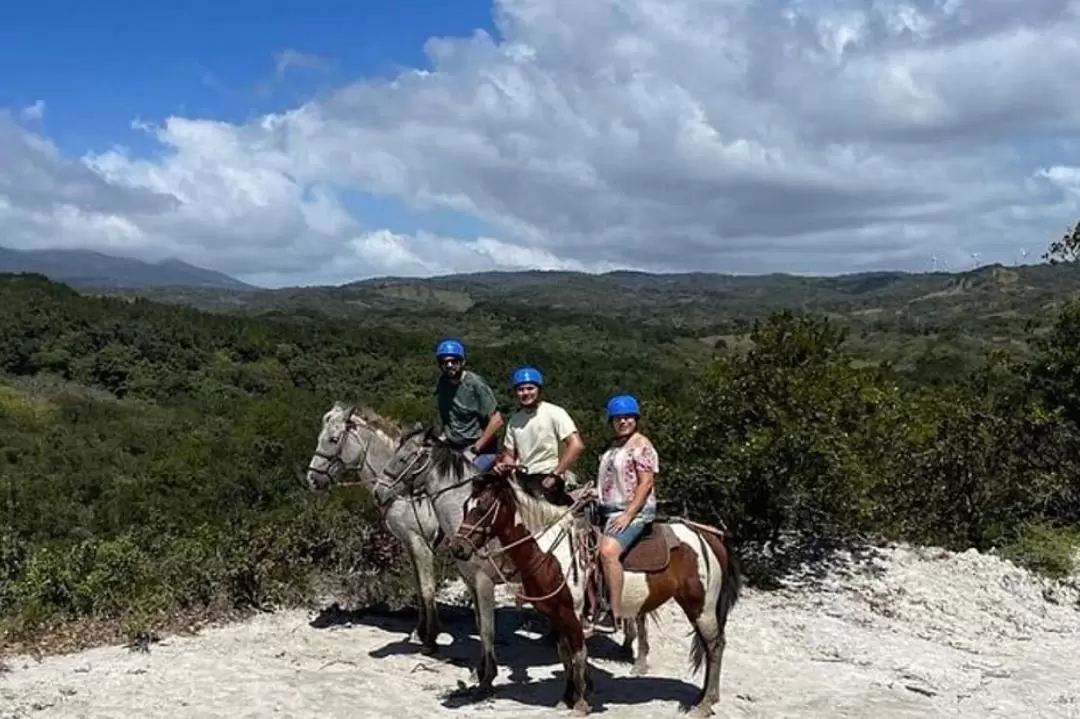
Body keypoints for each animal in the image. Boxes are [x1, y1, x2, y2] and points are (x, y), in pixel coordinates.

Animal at [302, 403, 503, 690]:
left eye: (332, 439)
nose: (312, 479)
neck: (406, 492)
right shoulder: (409, 544)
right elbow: (419, 588)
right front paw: (421, 631)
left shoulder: (420, 542)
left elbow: (428, 588)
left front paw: (430, 638)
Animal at [449, 472, 600, 712]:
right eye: (465, 507)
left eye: (482, 508)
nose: (457, 547)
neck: (548, 554)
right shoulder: (555, 613)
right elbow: (565, 654)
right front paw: (567, 697)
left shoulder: (572, 612)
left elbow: (579, 653)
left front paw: (581, 702)